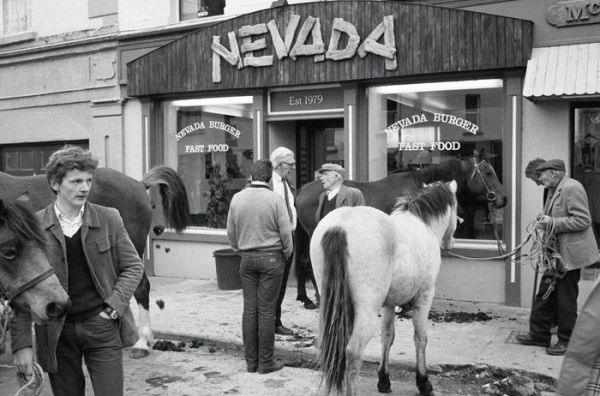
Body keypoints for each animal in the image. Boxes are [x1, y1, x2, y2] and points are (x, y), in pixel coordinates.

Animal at [312, 181, 458, 394]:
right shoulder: (425, 296)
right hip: (367, 310)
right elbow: (420, 337)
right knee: (353, 352)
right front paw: (423, 382)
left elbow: (387, 337)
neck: (422, 225)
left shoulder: (389, 303)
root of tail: (340, 226)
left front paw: (384, 379)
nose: (450, 243)